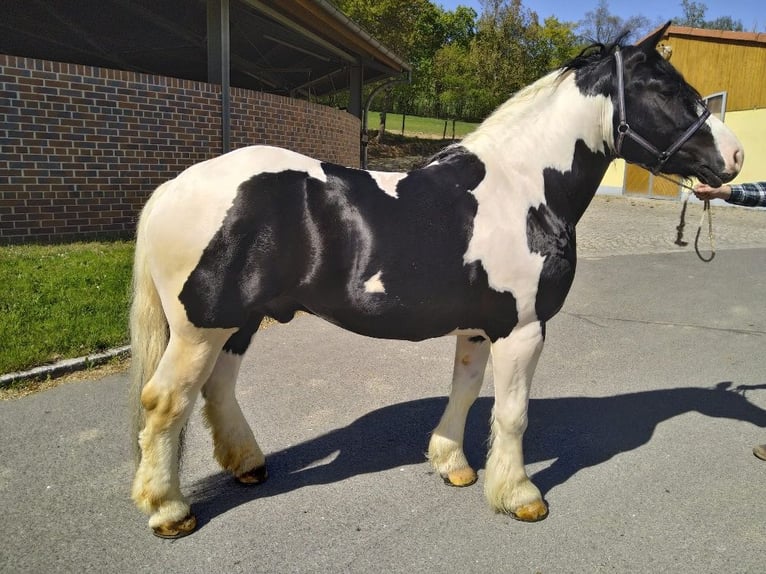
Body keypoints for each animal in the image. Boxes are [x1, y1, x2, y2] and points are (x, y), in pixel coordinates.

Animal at [129, 23, 743, 538]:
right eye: (666, 89)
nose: (736, 157)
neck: (526, 188)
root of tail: (174, 187)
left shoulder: (478, 327)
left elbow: (466, 394)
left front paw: (453, 464)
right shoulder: (523, 329)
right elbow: (513, 413)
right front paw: (521, 495)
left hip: (239, 322)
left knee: (217, 390)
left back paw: (248, 465)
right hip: (201, 329)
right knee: (165, 401)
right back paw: (169, 510)